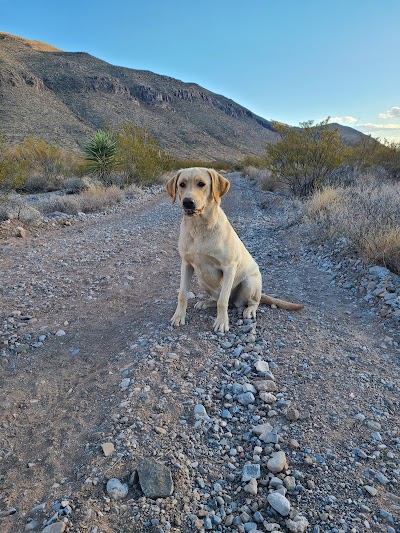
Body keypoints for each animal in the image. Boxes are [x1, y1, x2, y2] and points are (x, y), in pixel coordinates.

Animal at [166, 167, 304, 332]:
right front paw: (178, 316)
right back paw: (206, 302)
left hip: (249, 282)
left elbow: (223, 300)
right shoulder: (186, 264)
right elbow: (182, 294)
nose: (187, 202)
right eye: (182, 184)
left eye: (201, 184)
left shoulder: (229, 267)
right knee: (219, 299)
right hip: (201, 280)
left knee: (249, 302)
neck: (199, 227)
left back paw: (249, 310)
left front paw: (221, 322)